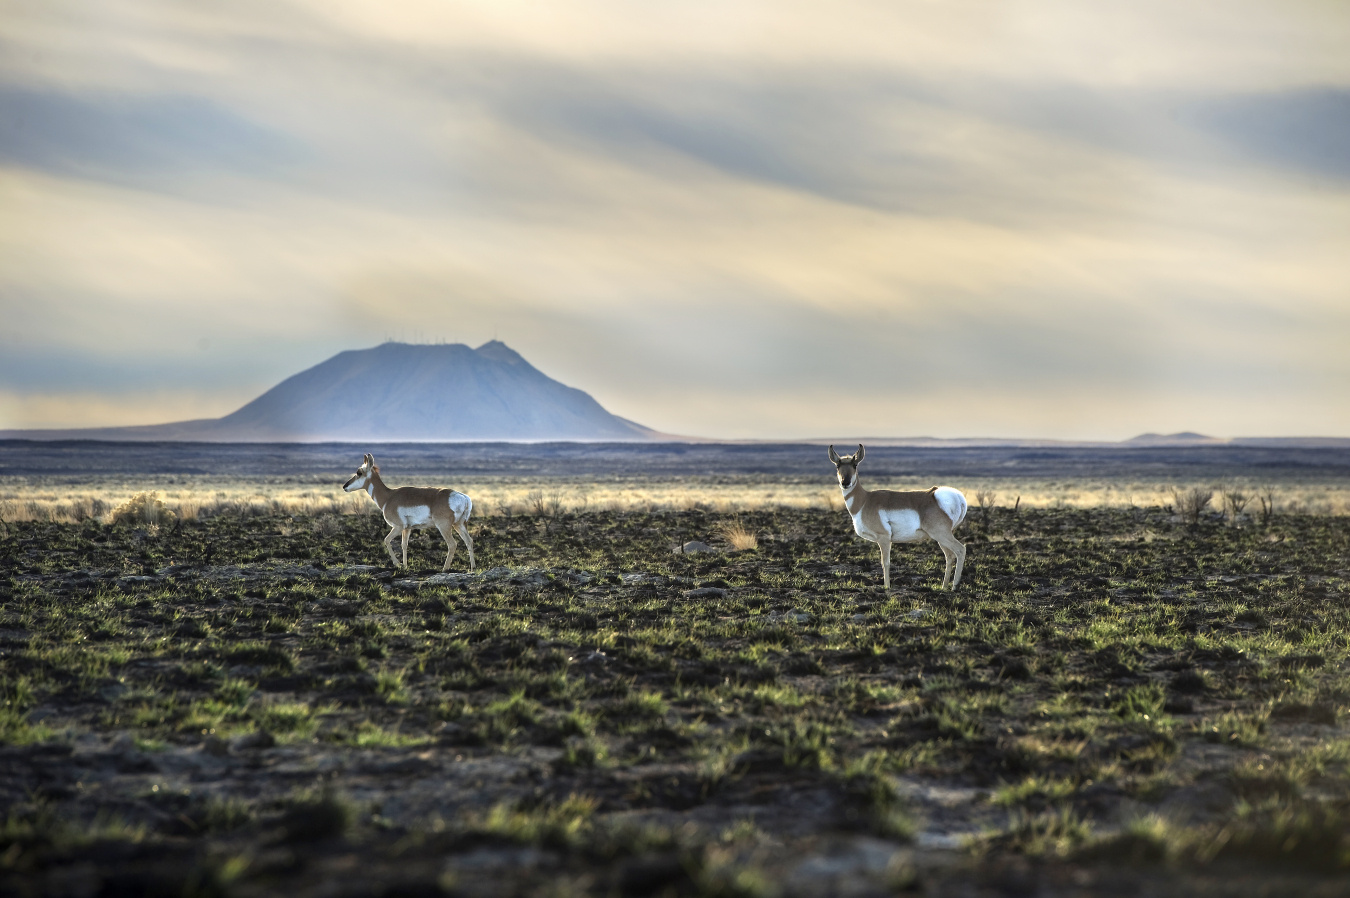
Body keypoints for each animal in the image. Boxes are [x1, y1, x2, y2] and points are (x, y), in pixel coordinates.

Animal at [342, 454, 475, 572]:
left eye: (359, 472)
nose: (344, 486)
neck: (388, 497)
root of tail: (463, 497)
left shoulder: (398, 527)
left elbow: (386, 540)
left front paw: (398, 564)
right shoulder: (407, 529)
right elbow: (404, 545)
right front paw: (405, 566)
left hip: (444, 526)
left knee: (452, 544)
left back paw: (444, 569)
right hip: (459, 525)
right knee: (469, 541)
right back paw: (473, 568)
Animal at [829, 444, 967, 590]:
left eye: (855, 465)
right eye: (837, 465)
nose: (845, 482)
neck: (864, 500)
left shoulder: (883, 538)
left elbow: (885, 563)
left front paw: (887, 587)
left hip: (942, 535)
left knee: (960, 550)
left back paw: (955, 586)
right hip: (940, 538)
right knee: (950, 556)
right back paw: (944, 587)